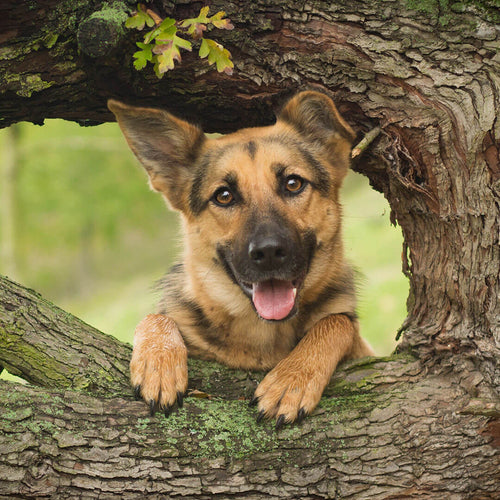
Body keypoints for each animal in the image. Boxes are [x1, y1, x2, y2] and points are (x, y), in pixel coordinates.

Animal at [109, 90, 376, 426]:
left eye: (293, 183)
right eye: (224, 196)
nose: (269, 252)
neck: (262, 332)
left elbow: (337, 322)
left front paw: (292, 379)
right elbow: (156, 315)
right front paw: (159, 363)